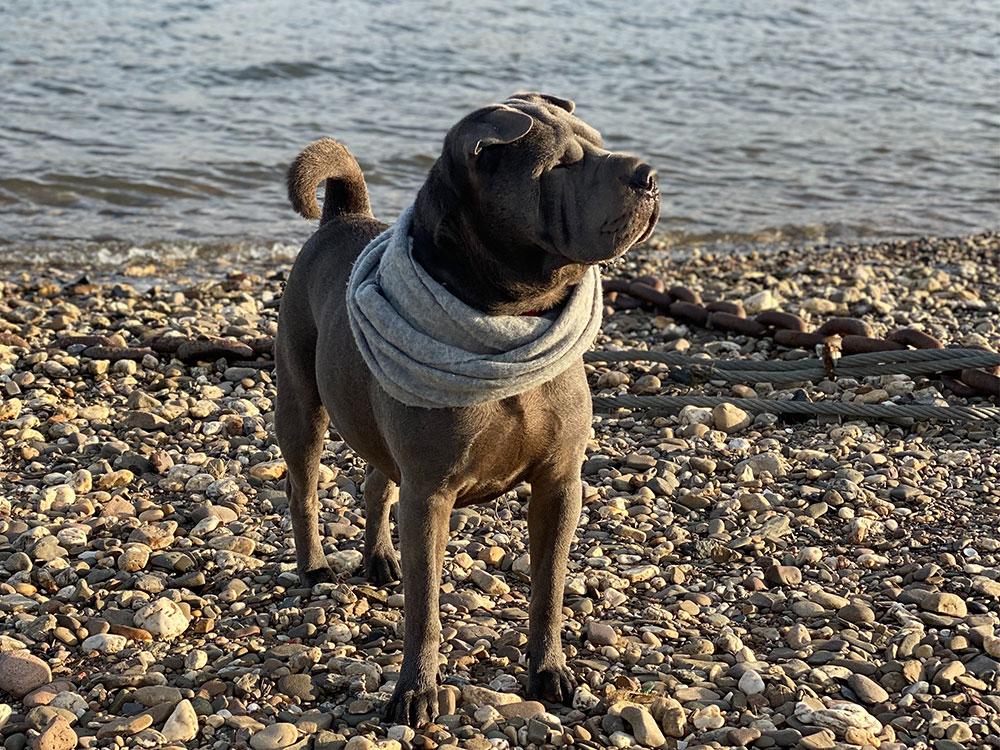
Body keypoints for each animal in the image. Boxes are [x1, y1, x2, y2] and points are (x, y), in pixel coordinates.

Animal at [278, 91, 660, 724]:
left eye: (600, 144)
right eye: (561, 165)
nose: (649, 175)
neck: (510, 316)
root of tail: (342, 218)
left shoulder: (560, 482)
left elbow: (549, 588)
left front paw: (548, 670)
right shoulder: (430, 494)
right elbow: (424, 606)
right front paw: (416, 690)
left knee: (377, 478)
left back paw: (379, 557)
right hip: (301, 403)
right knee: (304, 485)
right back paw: (314, 566)